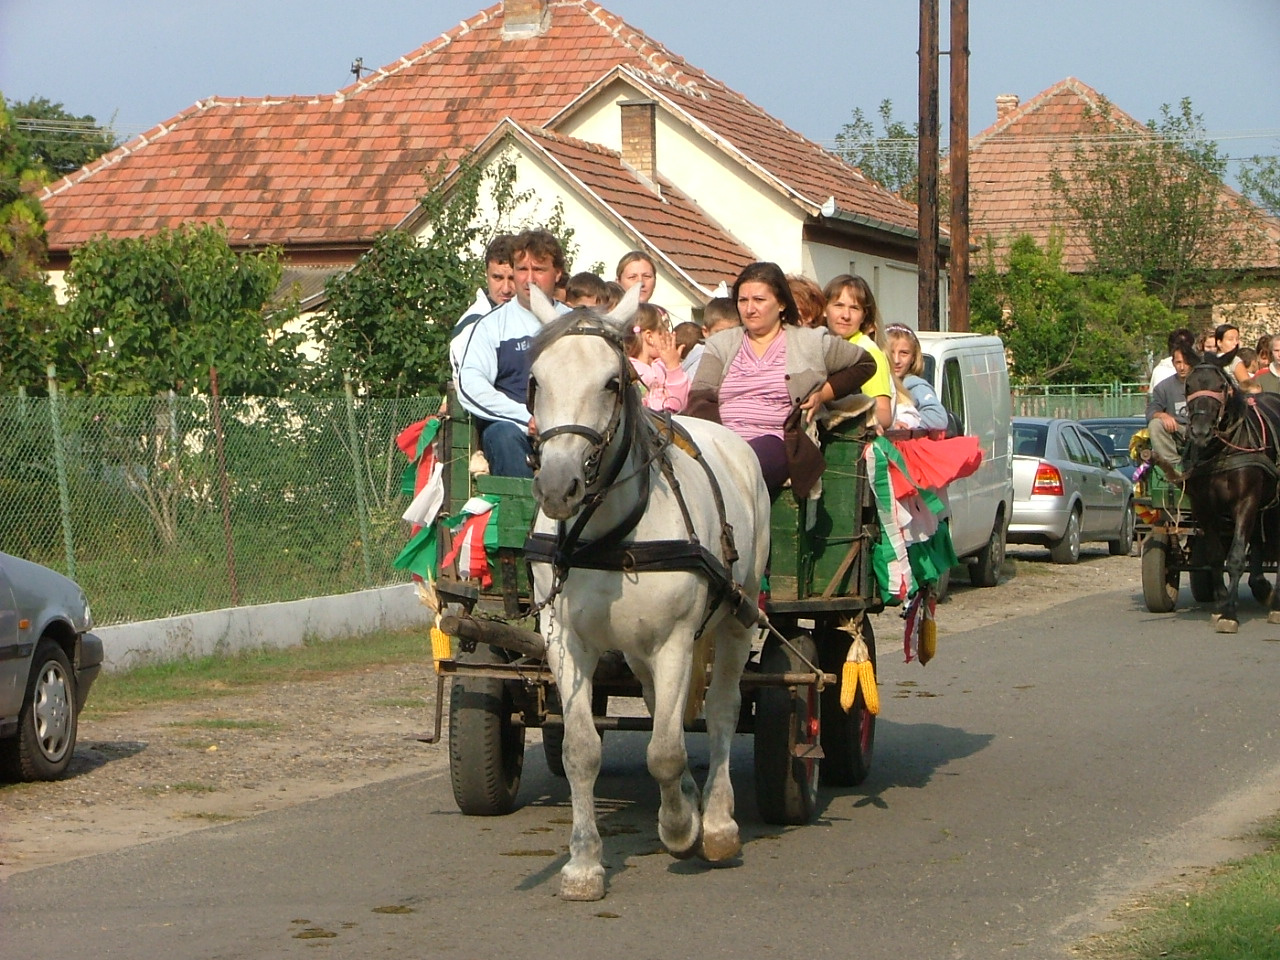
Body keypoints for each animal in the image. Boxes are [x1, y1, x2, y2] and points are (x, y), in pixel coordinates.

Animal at [522, 285, 762, 901]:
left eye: (612, 381)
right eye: (535, 380)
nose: (558, 487)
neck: (607, 535)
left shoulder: (677, 639)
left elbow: (666, 750)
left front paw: (680, 829)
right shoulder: (566, 642)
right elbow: (582, 750)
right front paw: (583, 864)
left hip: (737, 614)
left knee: (721, 712)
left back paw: (716, 821)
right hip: (637, 649)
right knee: (661, 705)